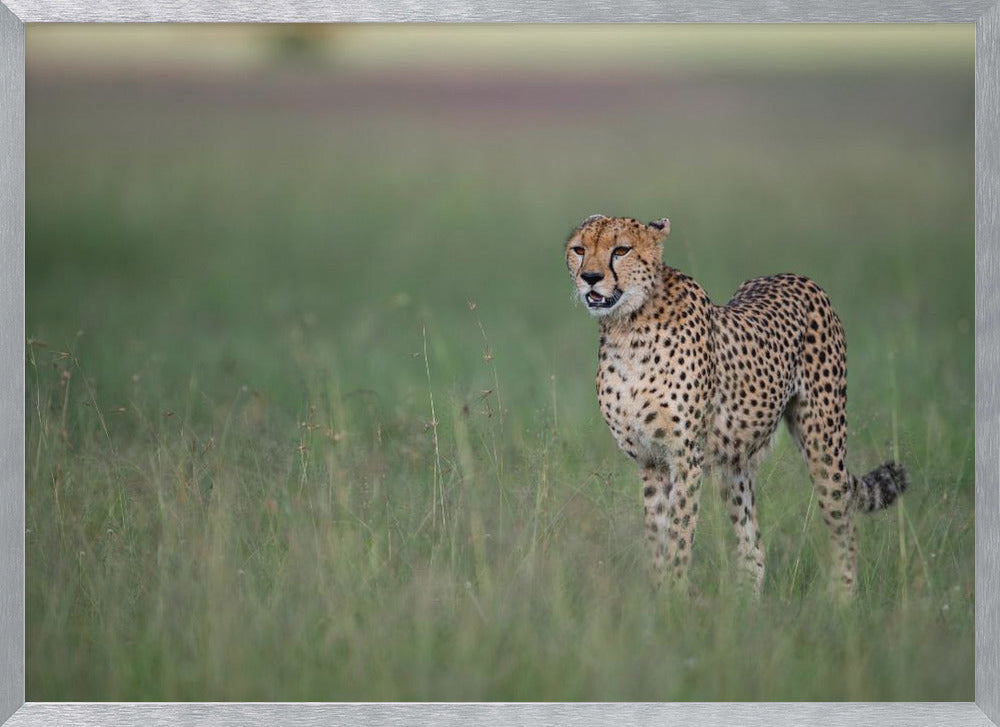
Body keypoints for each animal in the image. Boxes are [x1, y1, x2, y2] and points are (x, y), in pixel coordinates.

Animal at [565, 213, 908, 596]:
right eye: (579, 249)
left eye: (621, 250)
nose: (590, 277)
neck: (627, 327)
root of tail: (793, 276)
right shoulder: (651, 461)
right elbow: (657, 536)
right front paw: (658, 595)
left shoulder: (686, 458)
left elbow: (679, 535)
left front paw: (674, 598)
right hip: (735, 465)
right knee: (753, 548)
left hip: (823, 443)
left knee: (843, 524)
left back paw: (842, 600)